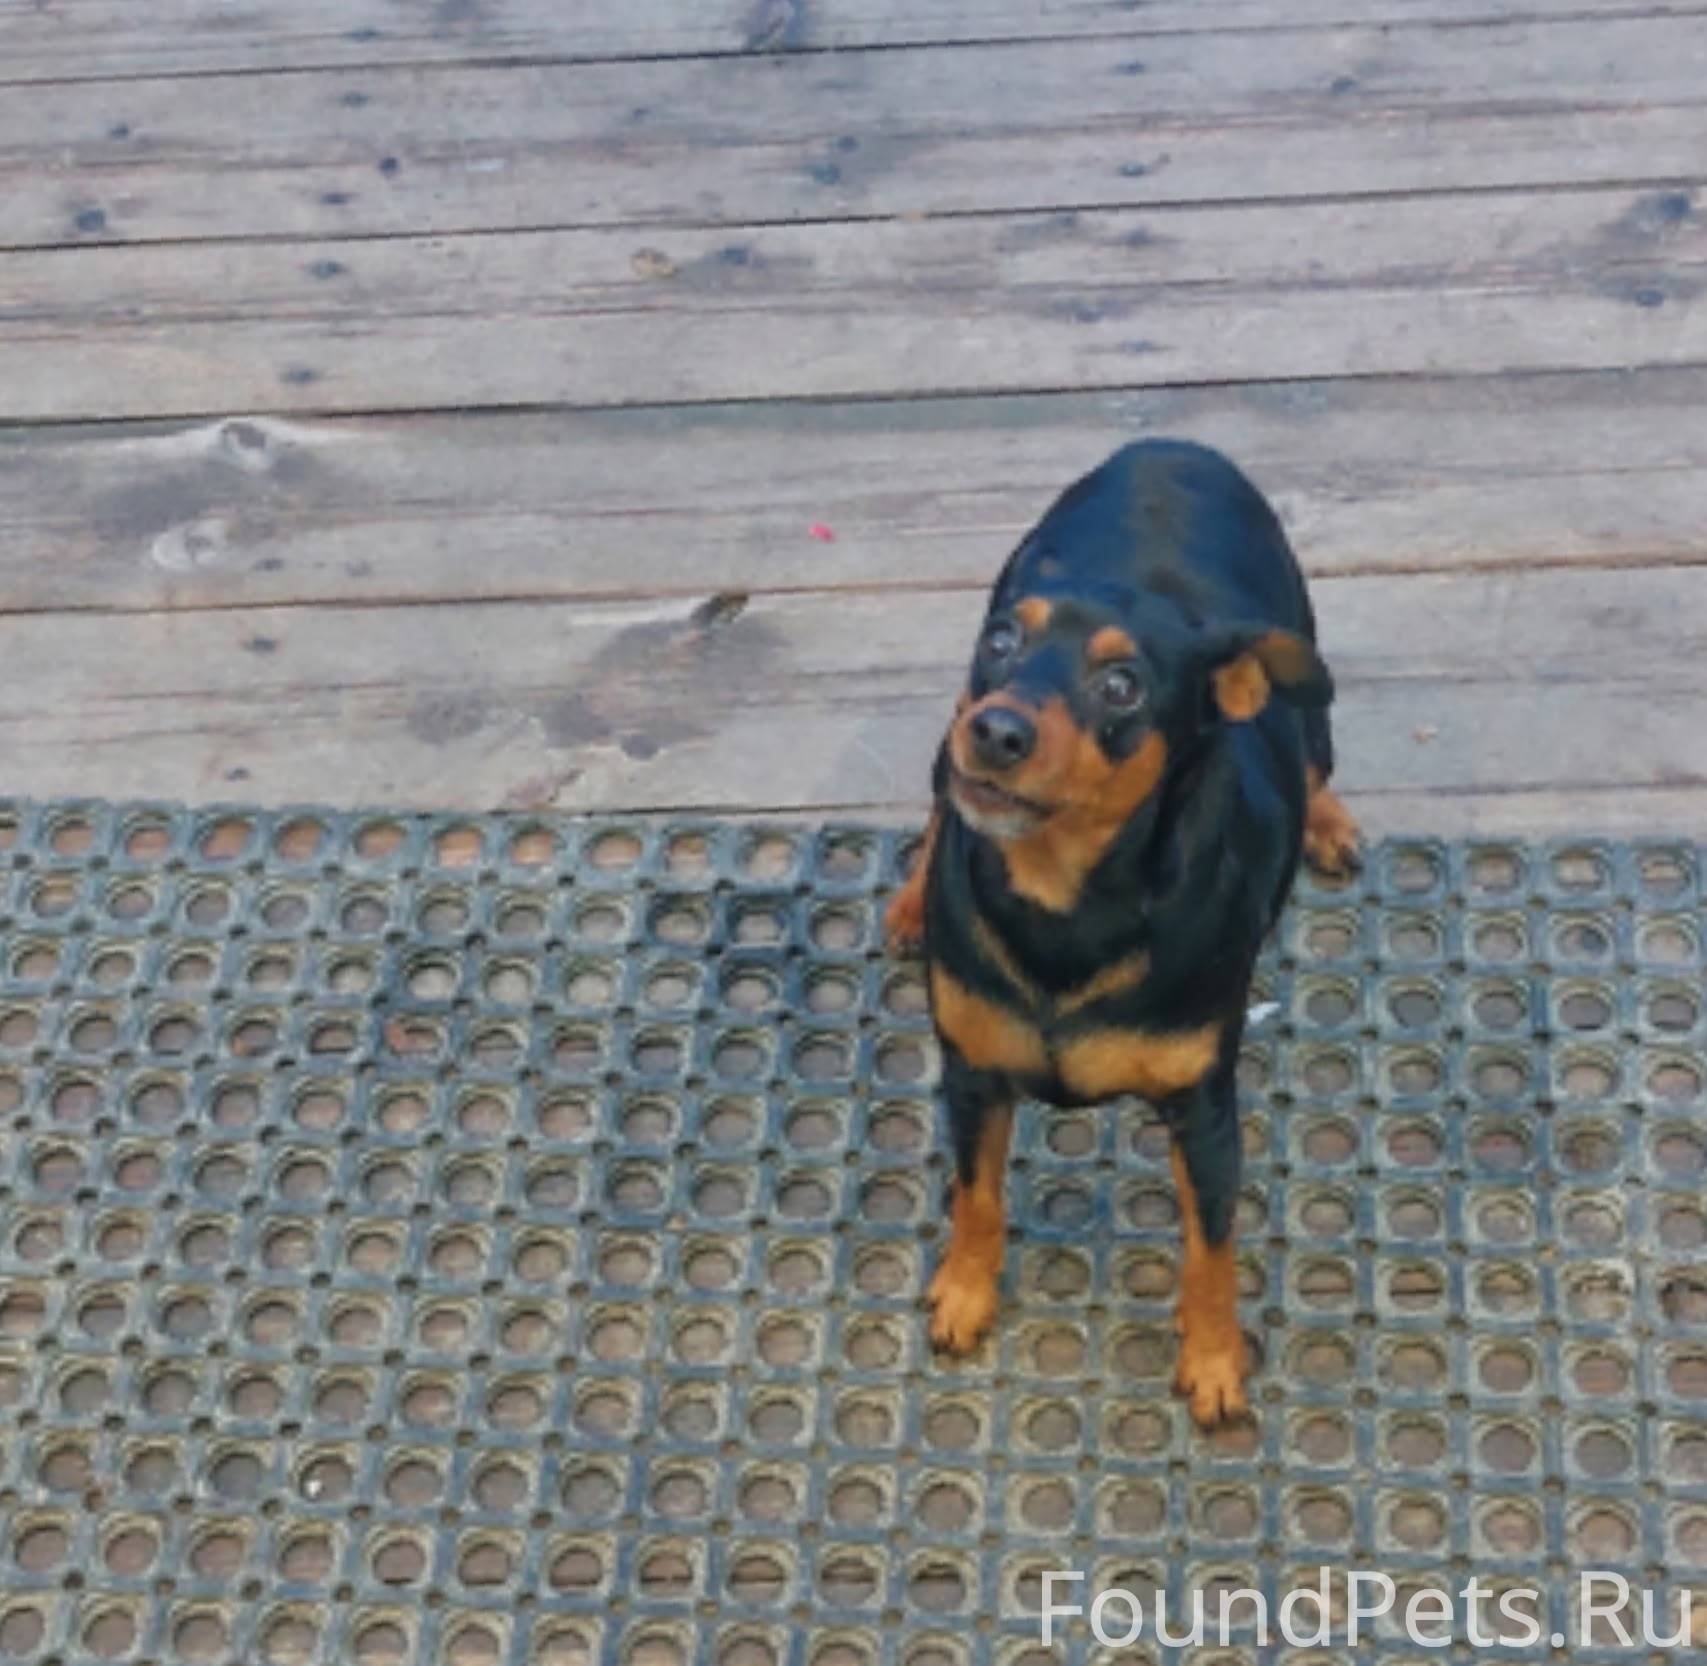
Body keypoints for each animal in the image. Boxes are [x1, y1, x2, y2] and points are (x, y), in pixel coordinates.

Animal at [885, 439, 1361, 1427]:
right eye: (1003, 642)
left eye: (1121, 684)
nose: (995, 728)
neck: (1065, 900)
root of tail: (1168, 447)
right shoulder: (973, 1077)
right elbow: (975, 1196)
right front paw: (964, 1294)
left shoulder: (1205, 1113)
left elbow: (1210, 1250)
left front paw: (1214, 1363)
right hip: (945, 731)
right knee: (938, 798)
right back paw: (912, 900)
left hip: (1307, 687)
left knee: (1311, 755)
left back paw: (1328, 821)